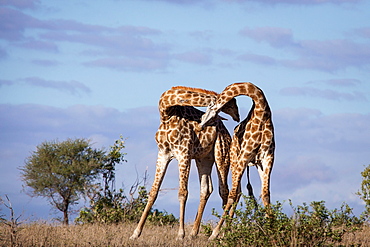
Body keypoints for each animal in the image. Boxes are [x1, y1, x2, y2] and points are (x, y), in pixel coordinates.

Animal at [130, 86, 240, 239]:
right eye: (232, 103)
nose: (238, 116)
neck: (166, 111)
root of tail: (226, 132)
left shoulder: (184, 153)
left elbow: (183, 193)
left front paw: (180, 234)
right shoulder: (163, 153)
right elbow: (153, 191)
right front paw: (136, 233)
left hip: (222, 155)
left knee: (225, 191)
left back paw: (224, 234)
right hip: (204, 159)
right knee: (206, 189)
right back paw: (194, 233)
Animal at [199, 82, 274, 239]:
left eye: (209, 108)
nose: (201, 124)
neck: (262, 111)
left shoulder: (267, 158)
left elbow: (266, 194)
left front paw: (273, 229)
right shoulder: (244, 156)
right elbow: (232, 195)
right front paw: (215, 234)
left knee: (238, 191)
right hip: (234, 160)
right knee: (234, 191)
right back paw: (225, 232)